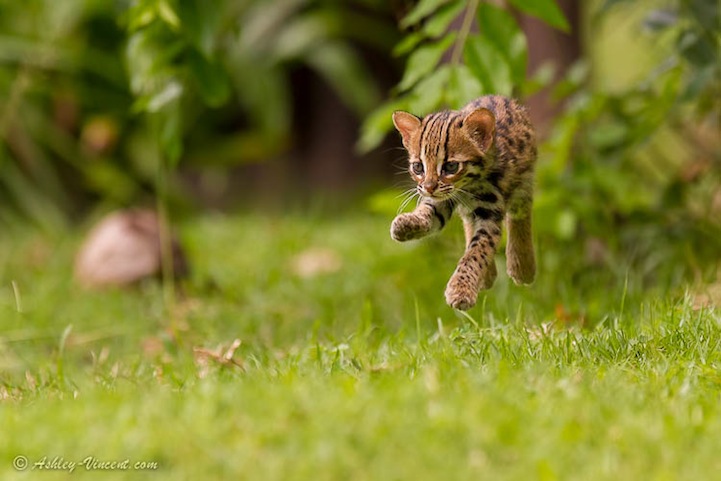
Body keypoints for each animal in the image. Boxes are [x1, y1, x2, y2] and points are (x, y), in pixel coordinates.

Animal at [390, 95, 536, 310]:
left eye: (451, 167)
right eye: (418, 167)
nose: (429, 187)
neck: (466, 189)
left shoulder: (490, 213)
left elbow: (476, 251)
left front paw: (460, 289)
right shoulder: (441, 199)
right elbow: (428, 212)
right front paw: (406, 224)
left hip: (525, 181)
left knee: (520, 212)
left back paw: (522, 265)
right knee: (468, 221)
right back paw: (487, 275)